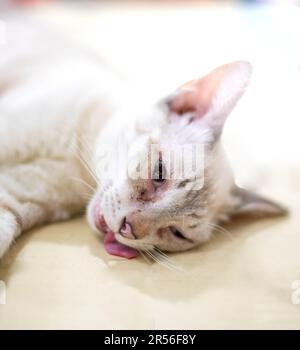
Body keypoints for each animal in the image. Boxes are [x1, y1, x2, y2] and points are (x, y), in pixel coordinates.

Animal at [0, 17, 288, 258]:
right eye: (159, 174)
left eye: (177, 233)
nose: (128, 229)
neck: (76, 164)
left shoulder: (14, 201)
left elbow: (5, 230)